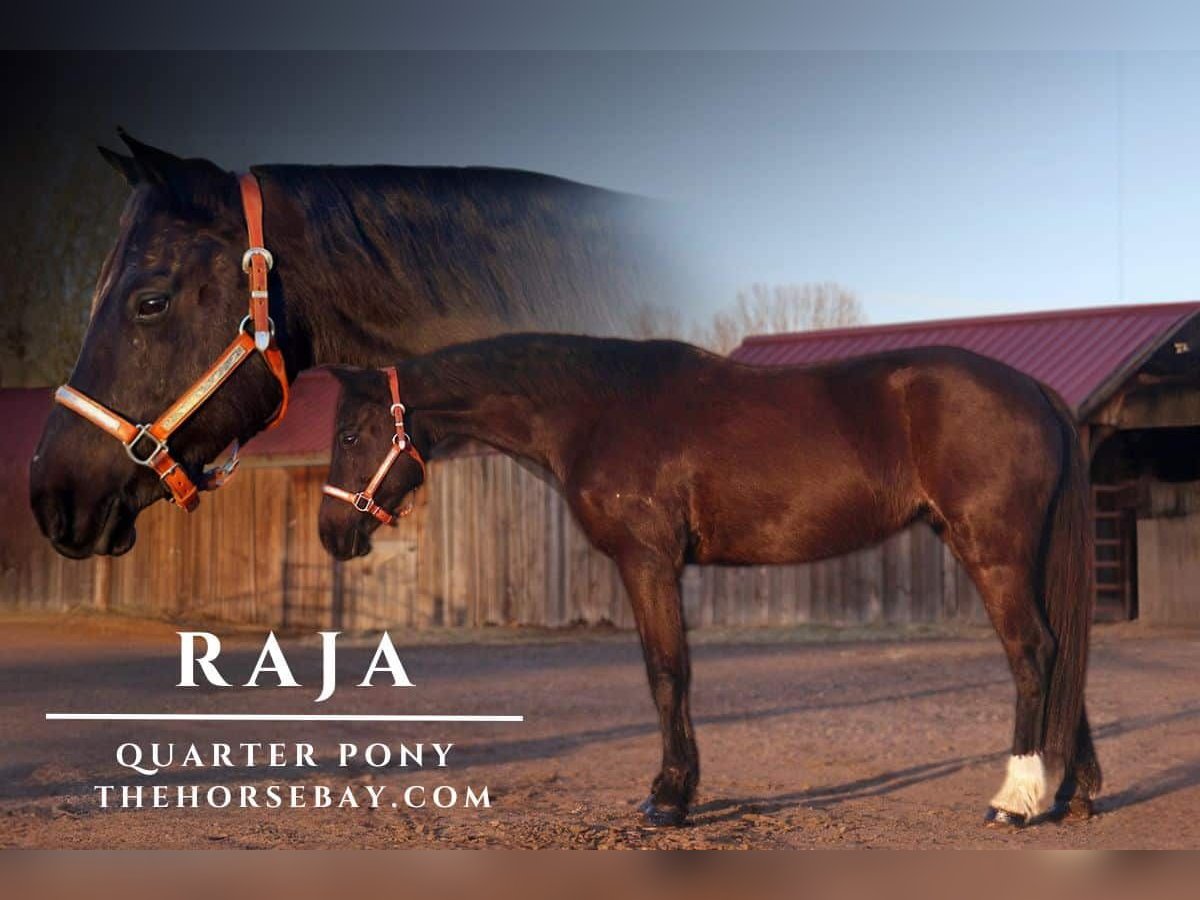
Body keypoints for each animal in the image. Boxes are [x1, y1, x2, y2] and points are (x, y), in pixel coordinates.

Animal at [318, 333, 1101, 829]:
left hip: (992, 550)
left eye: (351, 435)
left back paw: (1016, 799)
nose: (333, 534)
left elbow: (667, 673)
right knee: (1062, 653)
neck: (595, 411)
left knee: (1033, 651)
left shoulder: (647, 561)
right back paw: (1072, 792)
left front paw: (669, 799)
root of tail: (1033, 389)